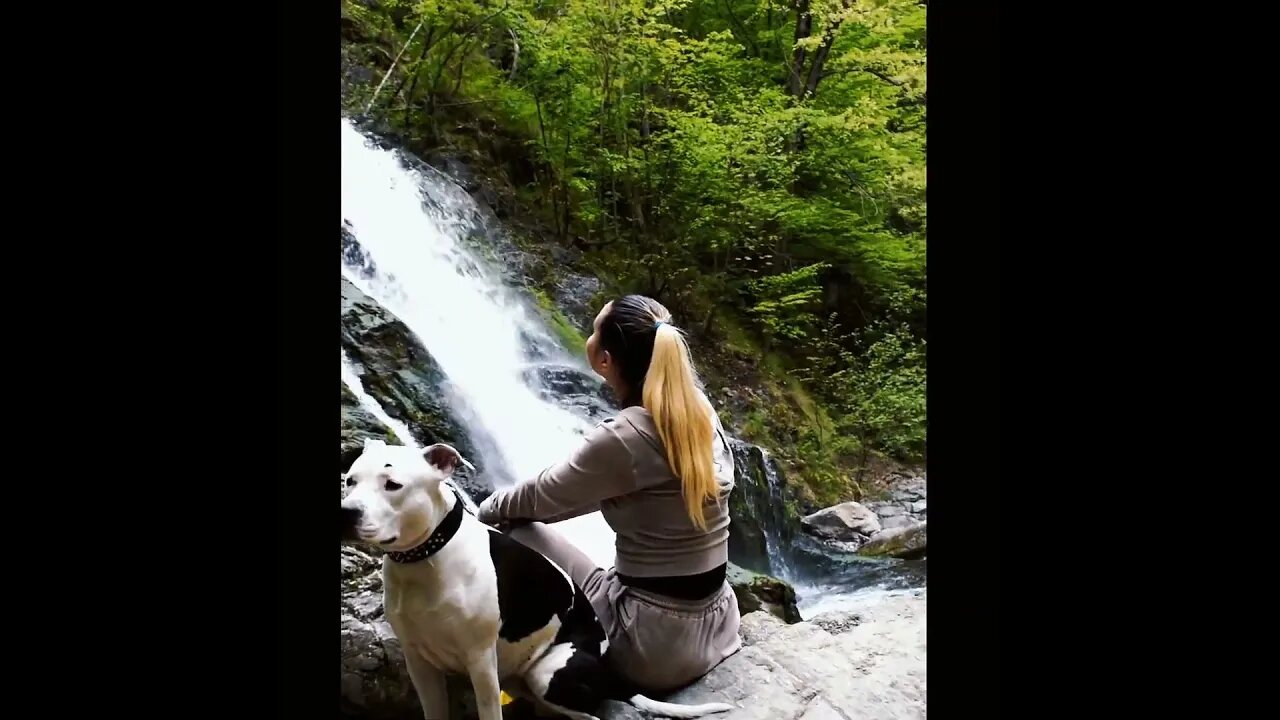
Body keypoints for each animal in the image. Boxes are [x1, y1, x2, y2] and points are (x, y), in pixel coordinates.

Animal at [340, 438, 737, 717]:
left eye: (393, 484)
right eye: (350, 480)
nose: (346, 512)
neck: (426, 559)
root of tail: (607, 668)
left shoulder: (481, 663)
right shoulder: (419, 664)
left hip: (547, 674)